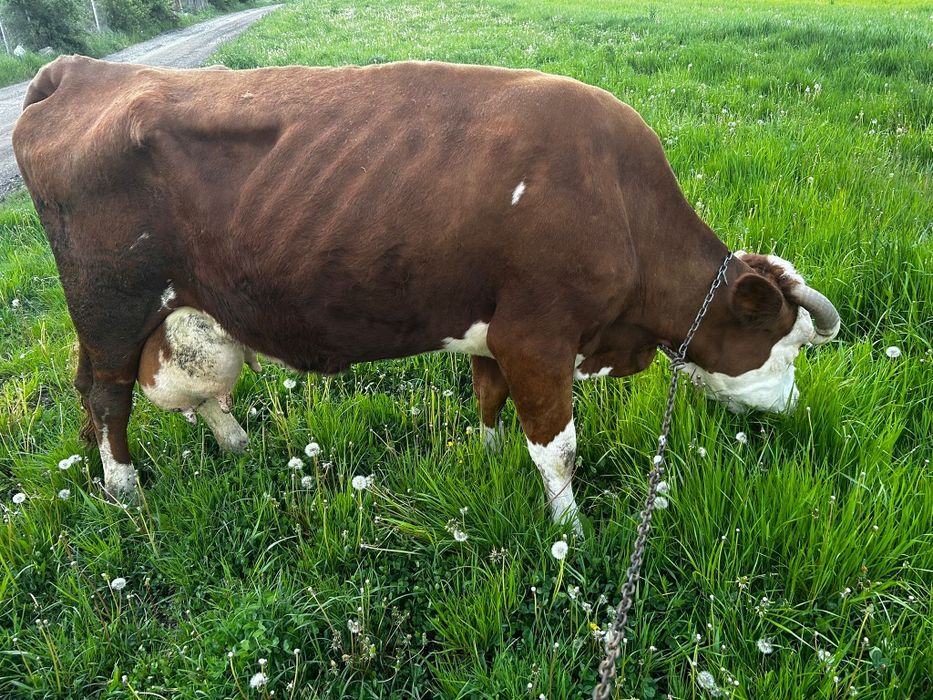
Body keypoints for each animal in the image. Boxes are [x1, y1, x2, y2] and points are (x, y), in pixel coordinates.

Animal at [13, 56, 839, 532]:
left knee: (185, 389)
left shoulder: (492, 332)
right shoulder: (538, 336)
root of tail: (83, 69)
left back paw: (238, 447)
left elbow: (489, 401)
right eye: (786, 344)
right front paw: (569, 535)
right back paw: (126, 491)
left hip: (173, 312)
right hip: (111, 306)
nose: (794, 408)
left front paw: (490, 456)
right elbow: (560, 451)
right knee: (106, 395)